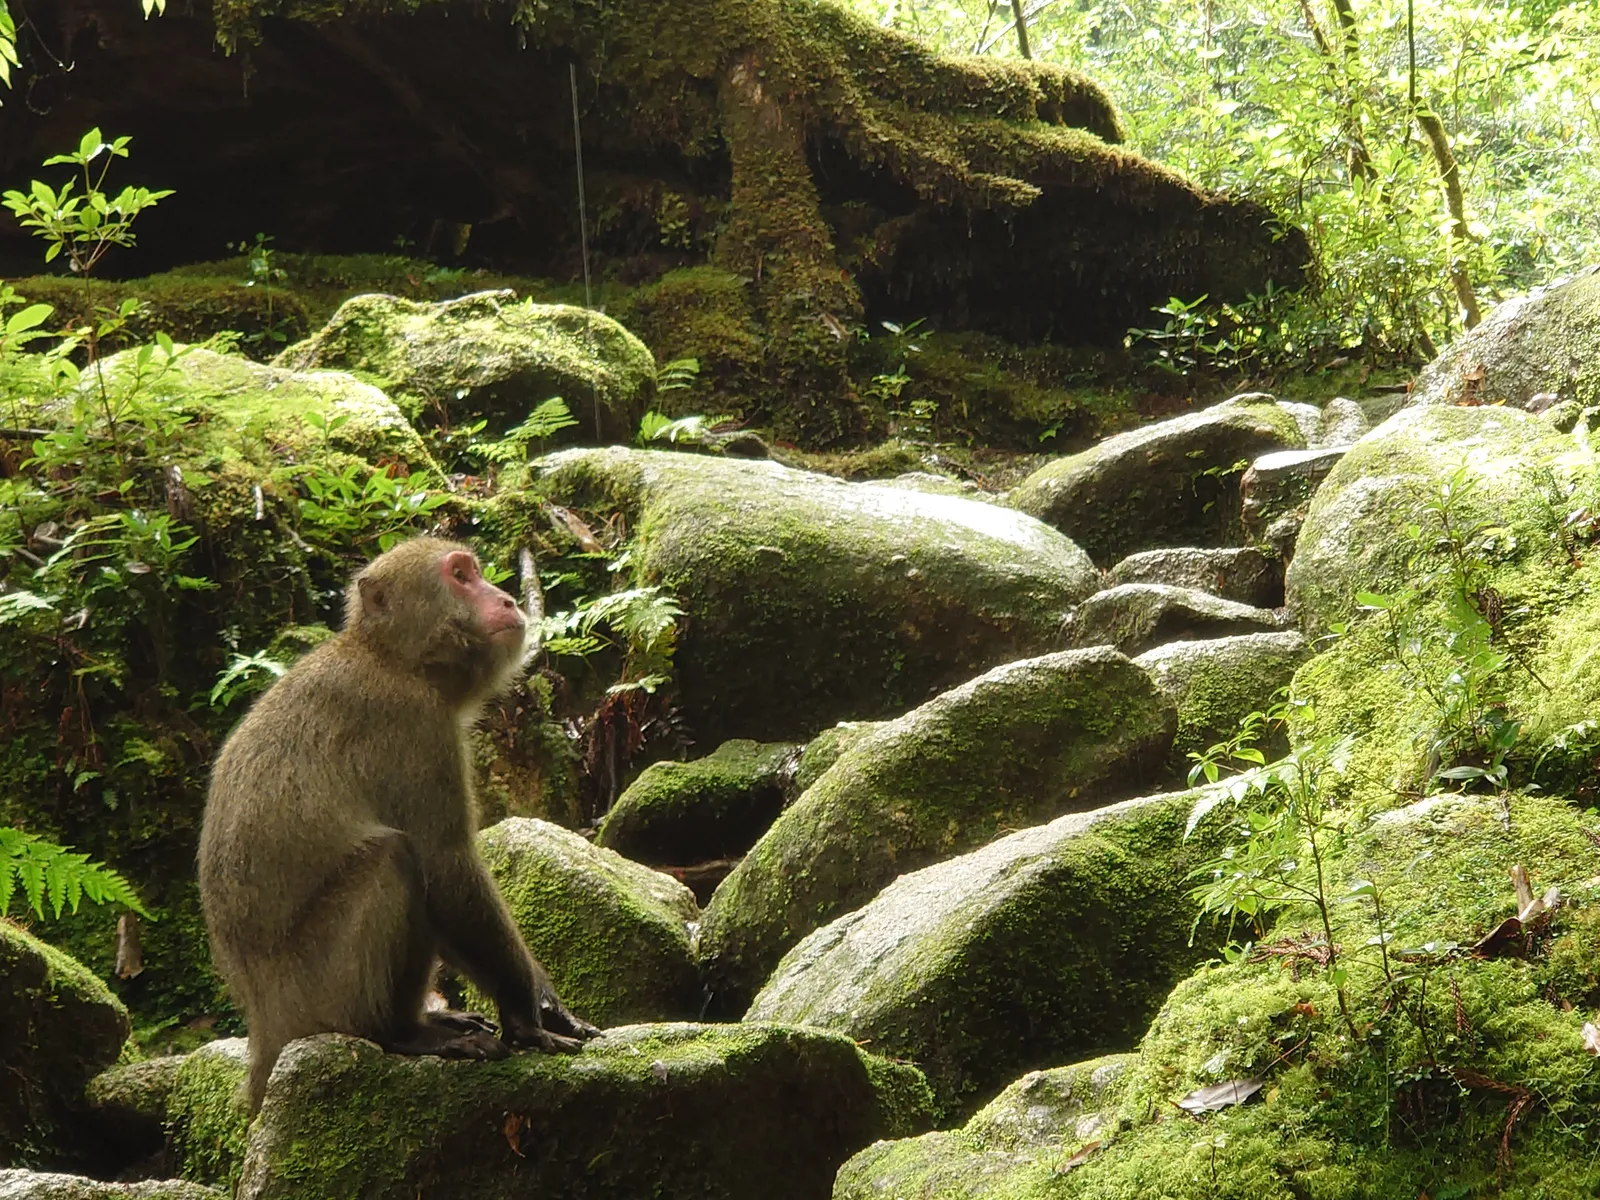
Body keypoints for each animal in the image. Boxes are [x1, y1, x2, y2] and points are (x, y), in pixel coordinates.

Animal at [198, 536, 599, 1113]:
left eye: (476, 572)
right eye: (461, 576)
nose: (506, 599)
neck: (395, 660)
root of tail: (263, 1033)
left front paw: (546, 1005)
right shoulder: (414, 726)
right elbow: (447, 869)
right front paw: (526, 1016)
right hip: (315, 996)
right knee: (395, 859)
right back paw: (398, 1034)